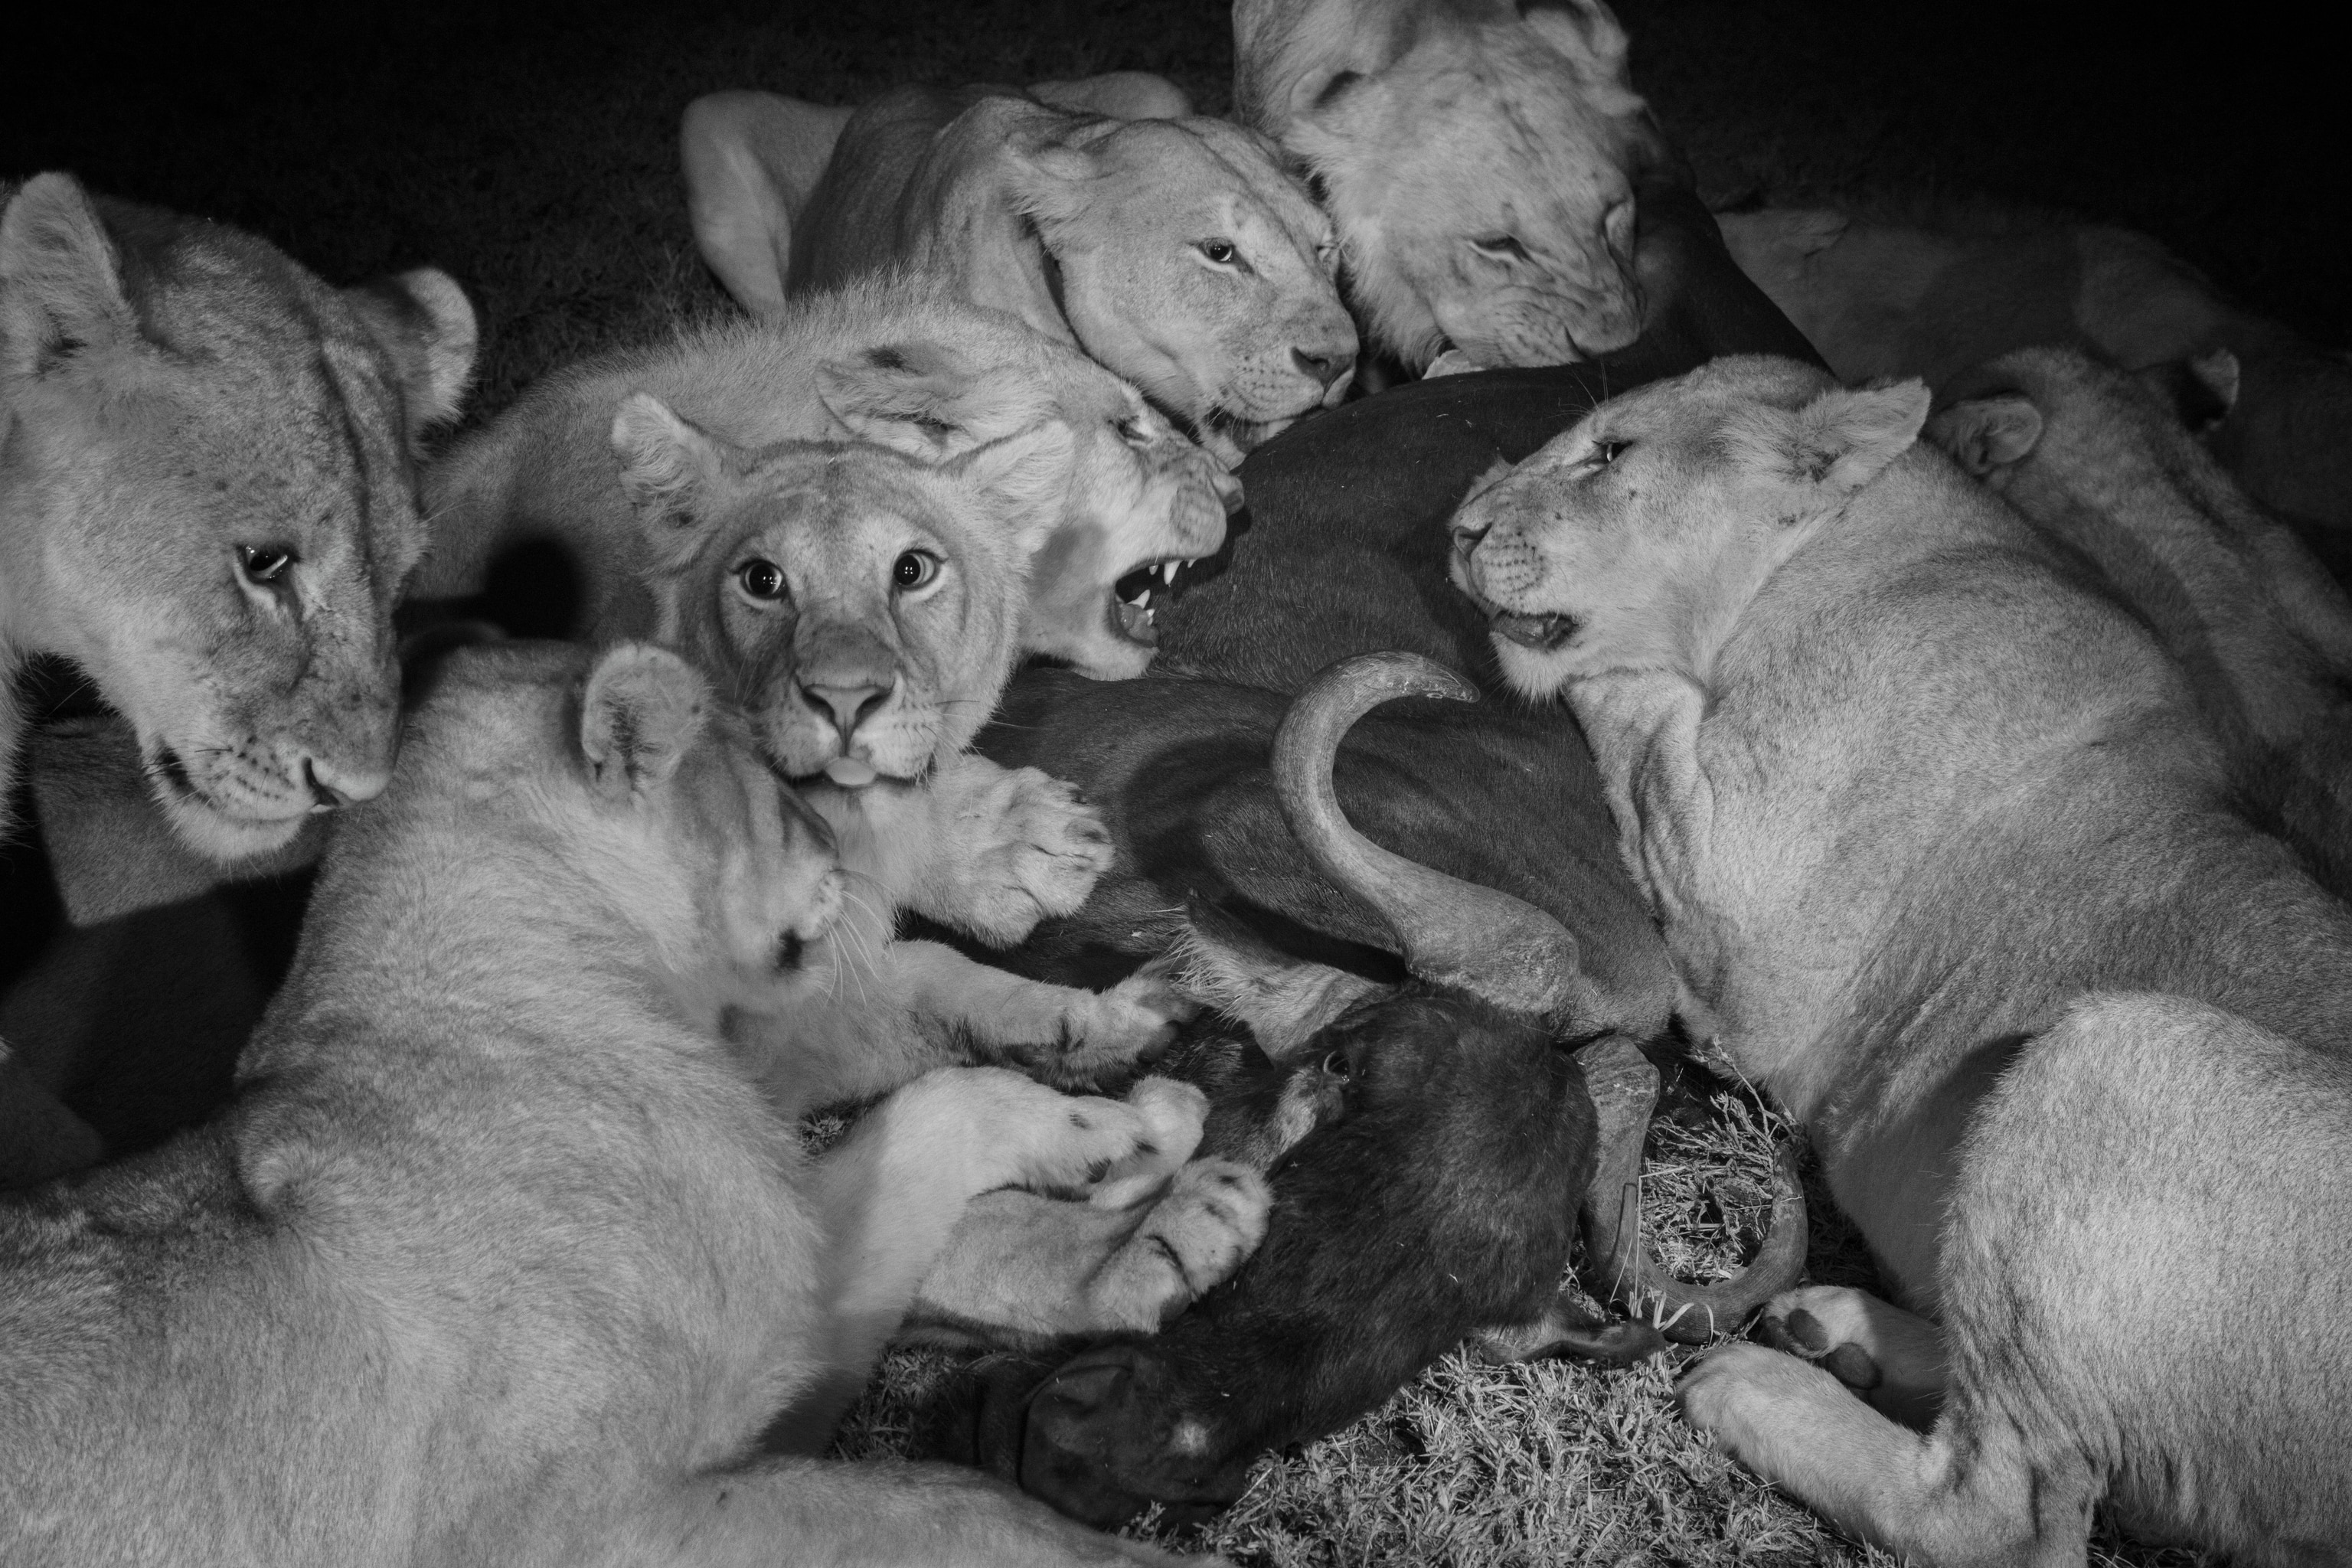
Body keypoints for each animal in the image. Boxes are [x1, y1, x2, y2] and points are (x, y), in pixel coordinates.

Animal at [0, 636, 1227, 1566]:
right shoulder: (599, 1523)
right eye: (771, 789)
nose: (843, 848)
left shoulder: (774, 1296)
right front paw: (1125, 1128)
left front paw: (1119, 1083)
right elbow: (951, 1509)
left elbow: (924, 1059)